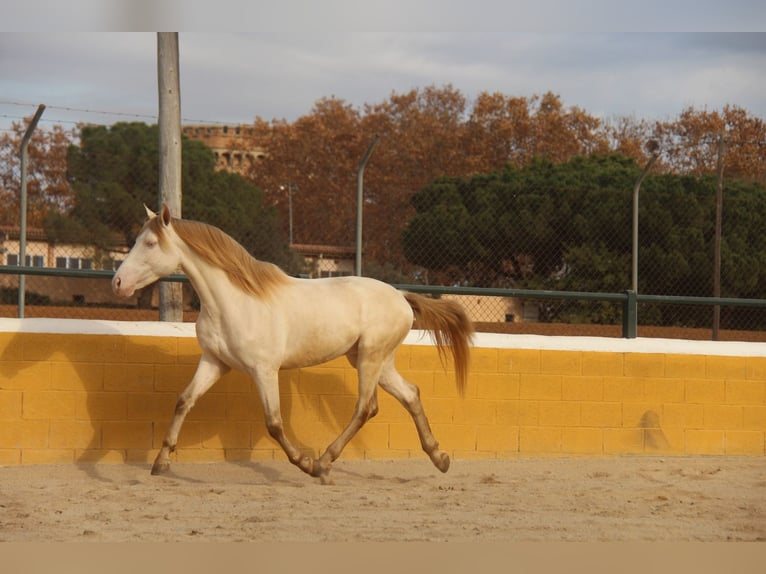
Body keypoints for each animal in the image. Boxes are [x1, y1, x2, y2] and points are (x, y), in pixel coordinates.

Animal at [113, 205, 474, 484]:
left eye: (149, 243)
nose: (117, 283)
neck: (235, 301)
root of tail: (401, 296)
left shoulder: (264, 370)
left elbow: (273, 423)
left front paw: (306, 464)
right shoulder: (215, 362)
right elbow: (183, 401)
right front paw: (160, 463)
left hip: (371, 359)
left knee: (365, 408)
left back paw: (324, 463)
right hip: (374, 360)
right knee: (410, 395)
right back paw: (439, 457)